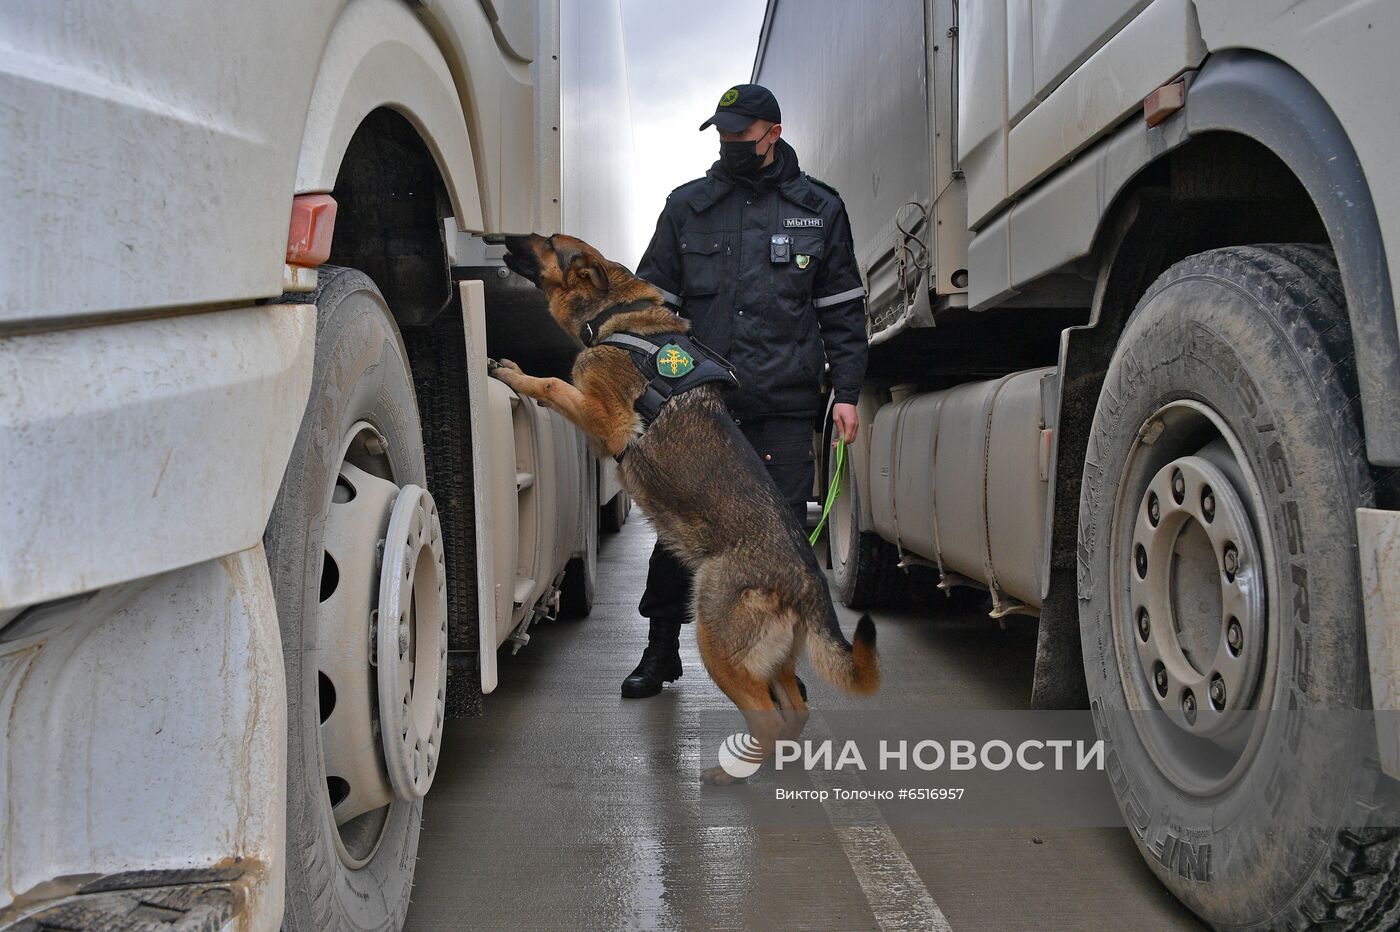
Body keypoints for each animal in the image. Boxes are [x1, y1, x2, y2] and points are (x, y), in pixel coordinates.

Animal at [492, 230, 873, 778]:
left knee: (768, 717)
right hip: (769, 659)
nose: (499, 236)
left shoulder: (604, 420)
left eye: (546, 241)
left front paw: (515, 375)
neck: (618, 312)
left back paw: (729, 775)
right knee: (795, 712)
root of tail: (807, 580)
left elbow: (551, 383)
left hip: (716, 642)